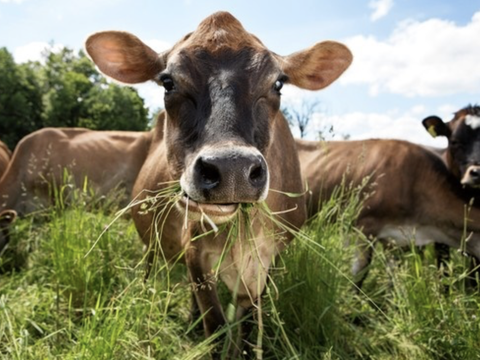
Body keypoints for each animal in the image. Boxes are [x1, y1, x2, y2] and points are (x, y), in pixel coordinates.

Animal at [84, 10, 350, 354]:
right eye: (168, 81)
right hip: (150, 241)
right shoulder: (195, 250)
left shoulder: (267, 262)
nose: (232, 167)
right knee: (150, 268)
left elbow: (247, 329)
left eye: (278, 82)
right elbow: (216, 325)